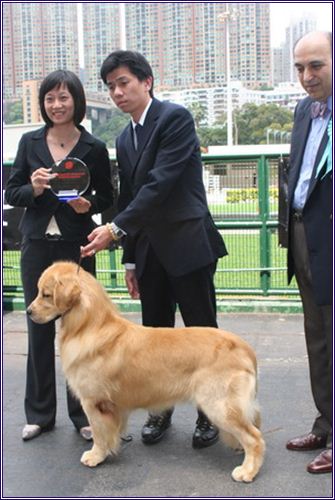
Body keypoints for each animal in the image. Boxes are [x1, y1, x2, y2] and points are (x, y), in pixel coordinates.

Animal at [27, 260, 266, 482]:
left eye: (46, 295)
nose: (29, 312)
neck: (89, 327)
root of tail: (246, 348)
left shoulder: (94, 401)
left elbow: (98, 433)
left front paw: (95, 456)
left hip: (219, 404)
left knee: (255, 438)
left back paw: (247, 471)